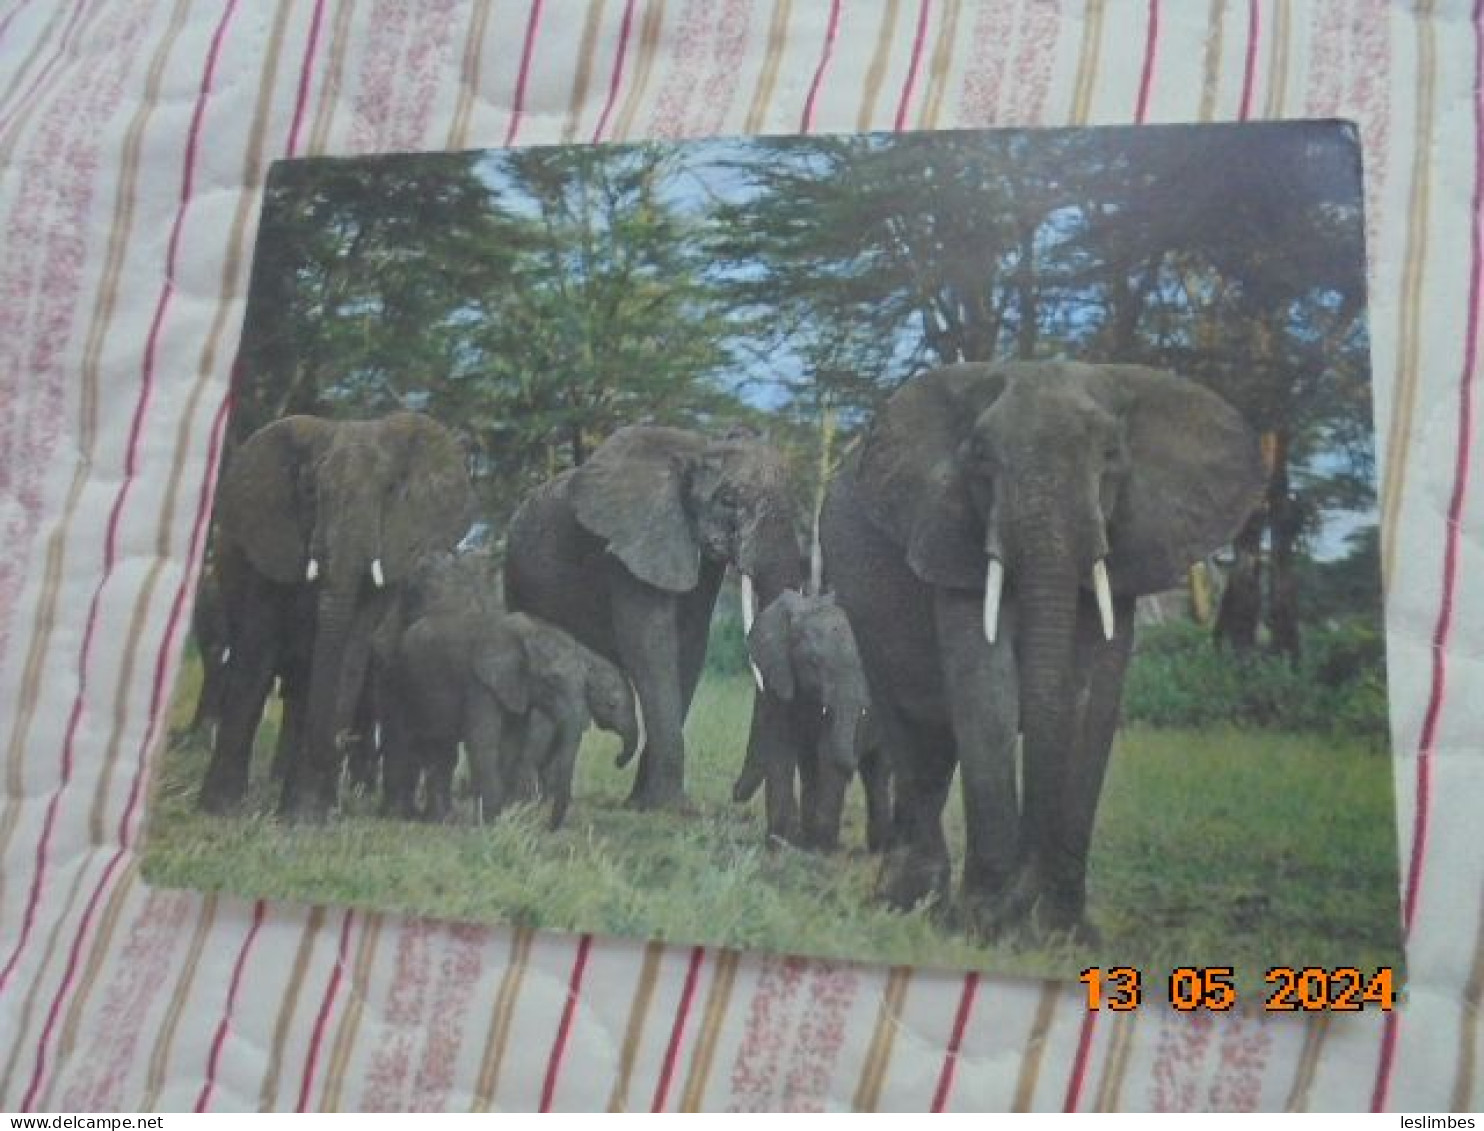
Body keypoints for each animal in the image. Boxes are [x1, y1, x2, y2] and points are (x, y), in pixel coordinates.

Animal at [198, 409, 468, 813]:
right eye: (310, 492)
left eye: (390, 490)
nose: (341, 744)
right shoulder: (273, 549)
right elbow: (257, 654)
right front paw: (220, 808)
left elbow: (349, 655)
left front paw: (306, 816)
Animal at [510, 427, 813, 807]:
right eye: (728, 500)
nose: (735, 793)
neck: (696, 454)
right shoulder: (631, 546)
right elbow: (651, 646)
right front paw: (670, 807)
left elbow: (689, 645)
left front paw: (644, 805)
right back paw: (532, 798)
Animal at [733, 590, 884, 843]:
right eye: (814, 662)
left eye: (864, 663)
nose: (734, 795)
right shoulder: (779, 677)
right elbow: (781, 745)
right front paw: (780, 840)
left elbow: (828, 752)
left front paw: (820, 845)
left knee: (878, 772)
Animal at [825, 359, 1264, 932]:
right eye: (980, 456)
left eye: (1110, 454)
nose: (1020, 902)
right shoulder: (952, 537)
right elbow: (987, 687)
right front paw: (983, 922)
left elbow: (1092, 701)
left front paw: (1063, 933)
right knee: (915, 733)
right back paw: (906, 902)